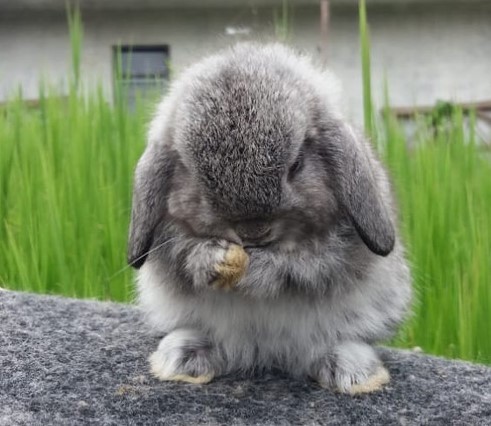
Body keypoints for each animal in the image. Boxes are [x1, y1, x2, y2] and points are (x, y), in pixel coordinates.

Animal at [129, 42, 414, 392]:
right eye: (196, 177)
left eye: (296, 165)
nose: (253, 232)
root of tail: (264, 352)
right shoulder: (170, 240)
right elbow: (186, 253)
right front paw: (212, 260)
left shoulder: (329, 252)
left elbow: (300, 266)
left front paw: (260, 271)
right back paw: (183, 359)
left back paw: (352, 372)